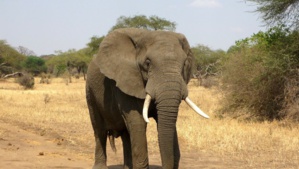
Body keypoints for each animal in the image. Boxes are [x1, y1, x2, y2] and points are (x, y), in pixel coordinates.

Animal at [85, 28, 210, 169]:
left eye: (184, 64)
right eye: (148, 63)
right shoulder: (125, 80)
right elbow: (138, 121)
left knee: (126, 134)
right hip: (90, 91)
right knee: (99, 130)